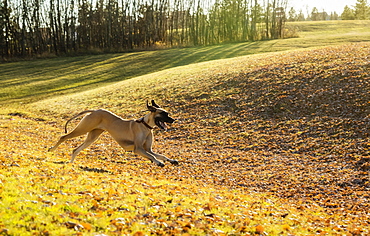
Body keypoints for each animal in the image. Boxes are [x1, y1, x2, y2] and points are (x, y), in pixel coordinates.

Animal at [47, 100, 178, 167]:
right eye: (163, 114)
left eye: (167, 113)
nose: (173, 120)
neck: (145, 125)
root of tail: (95, 110)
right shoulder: (138, 149)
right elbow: (152, 156)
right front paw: (158, 162)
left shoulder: (147, 149)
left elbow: (159, 155)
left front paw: (171, 160)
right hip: (83, 129)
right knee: (63, 137)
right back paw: (52, 149)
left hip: (92, 136)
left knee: (76, 149)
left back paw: (71, 163)